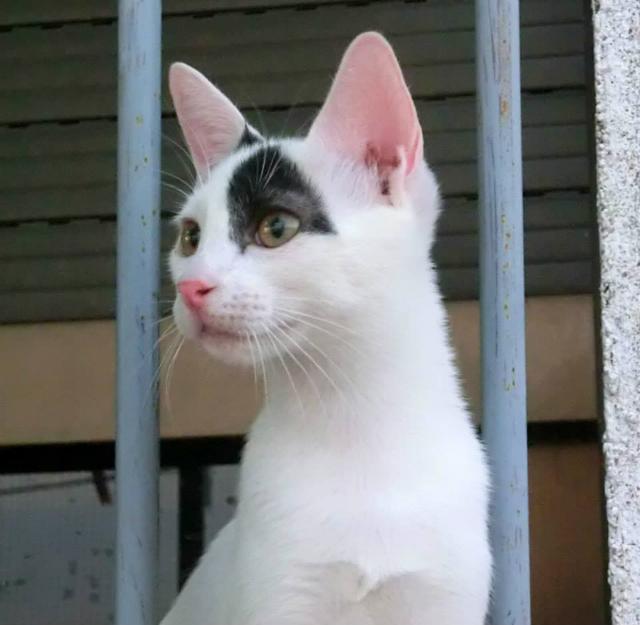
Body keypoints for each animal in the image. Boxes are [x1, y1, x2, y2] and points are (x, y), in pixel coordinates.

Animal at [161, 33, 490, 624]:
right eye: (191, 237)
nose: (192, 287)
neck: (355, 425)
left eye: (276, 227)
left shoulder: (445, 597)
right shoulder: (279, 594)